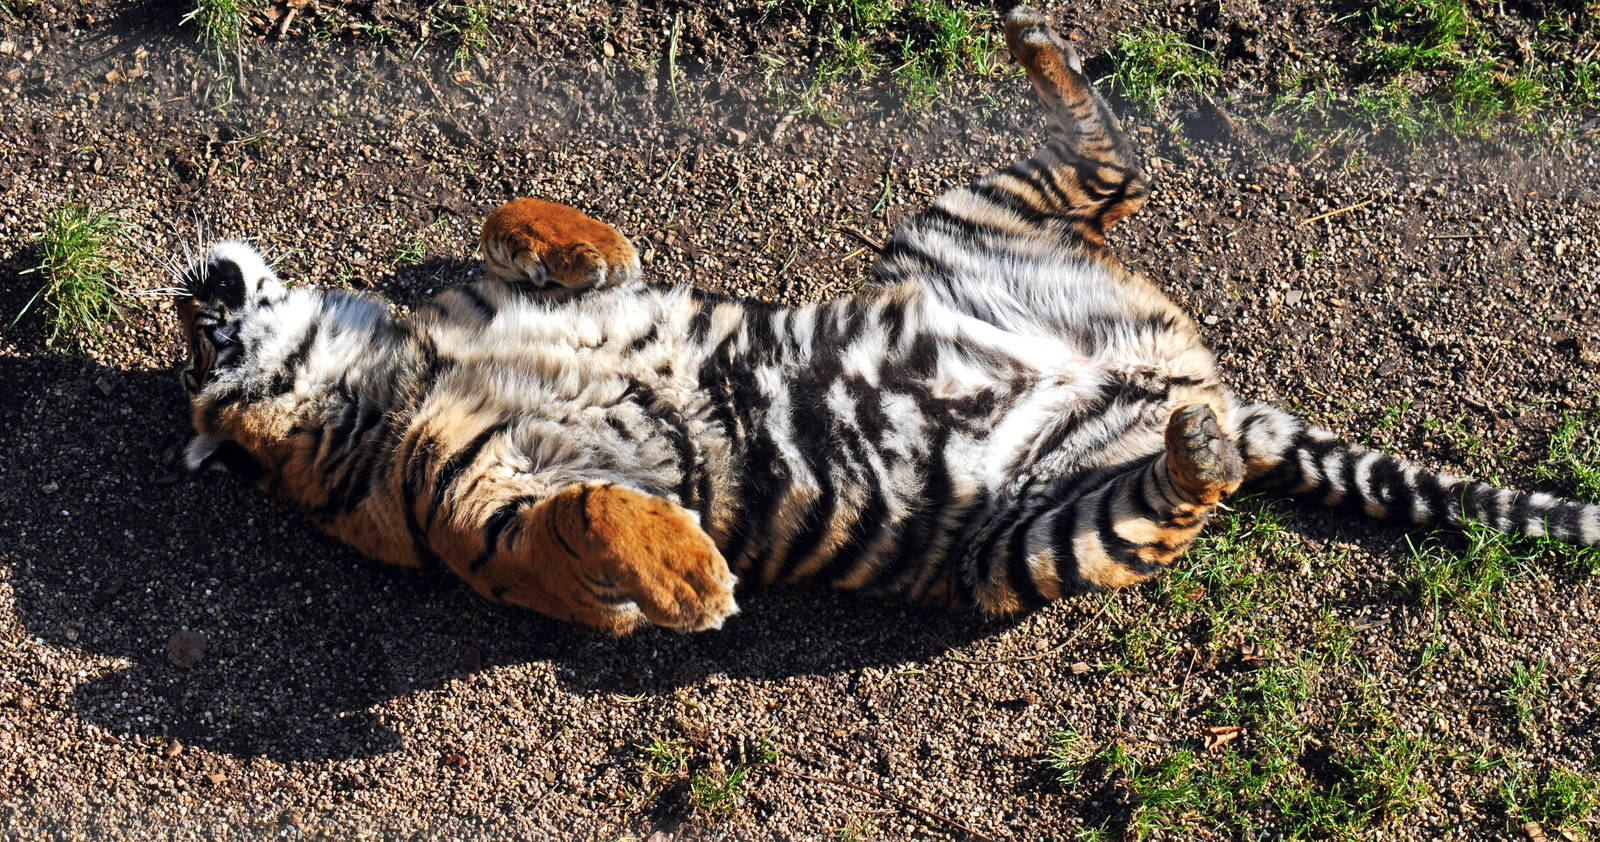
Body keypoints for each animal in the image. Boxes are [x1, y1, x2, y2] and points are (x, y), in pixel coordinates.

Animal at [173, 7, 1600, 636]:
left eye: (193, 328)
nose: (195, 286)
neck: (396, 364)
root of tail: (1187, 378)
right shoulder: (492, 521)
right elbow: (589, 516)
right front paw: (696, 582)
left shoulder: (567, 286)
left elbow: (531, 226)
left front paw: (536, 228)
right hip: (1041, 541)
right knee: (1178, 470)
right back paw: (1198, 445)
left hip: (961, 218)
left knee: (1115, 160)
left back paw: (1033, 41)